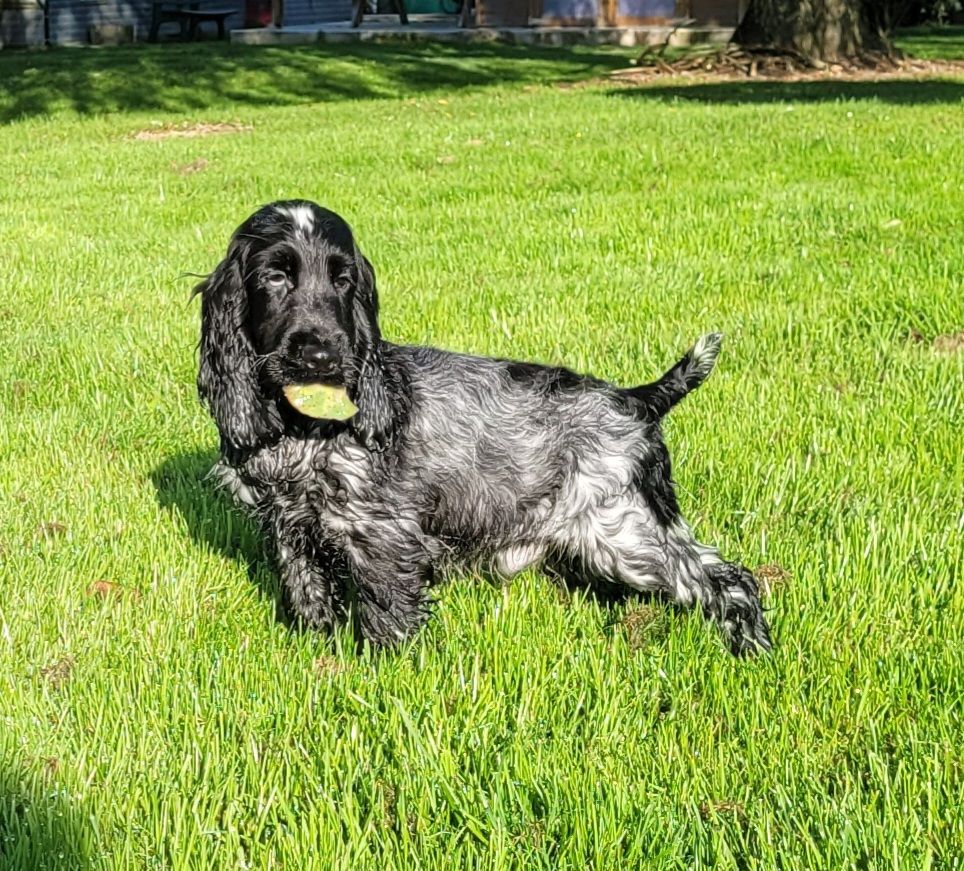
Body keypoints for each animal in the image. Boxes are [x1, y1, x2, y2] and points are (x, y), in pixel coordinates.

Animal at [196, 203, 776, 656]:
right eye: (275, 276)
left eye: (343, 280)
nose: (322, 355)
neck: (302, 432)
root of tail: (635, 398)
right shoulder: (289, 530)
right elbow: (308, 594)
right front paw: (320, 655)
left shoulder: (383, 536)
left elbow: (388, 616)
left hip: (623, 531)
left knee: (729, 578)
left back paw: (752, 649)